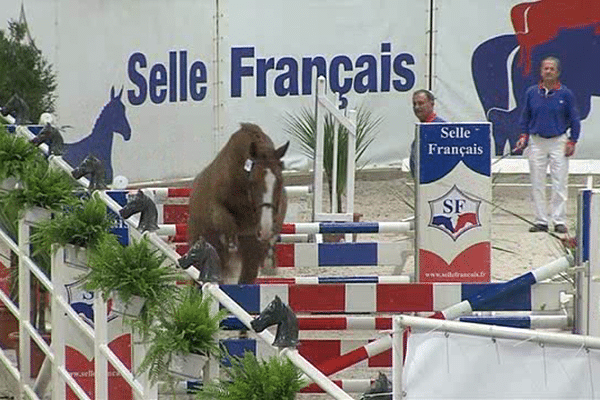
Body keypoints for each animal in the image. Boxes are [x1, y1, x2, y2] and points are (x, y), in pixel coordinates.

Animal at [189, 123, 290, 282]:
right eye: (253, 182)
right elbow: (225, 220)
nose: (264, 229)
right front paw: (230, 242)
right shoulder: (216, 208)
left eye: (280, 182)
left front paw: (269, 258)